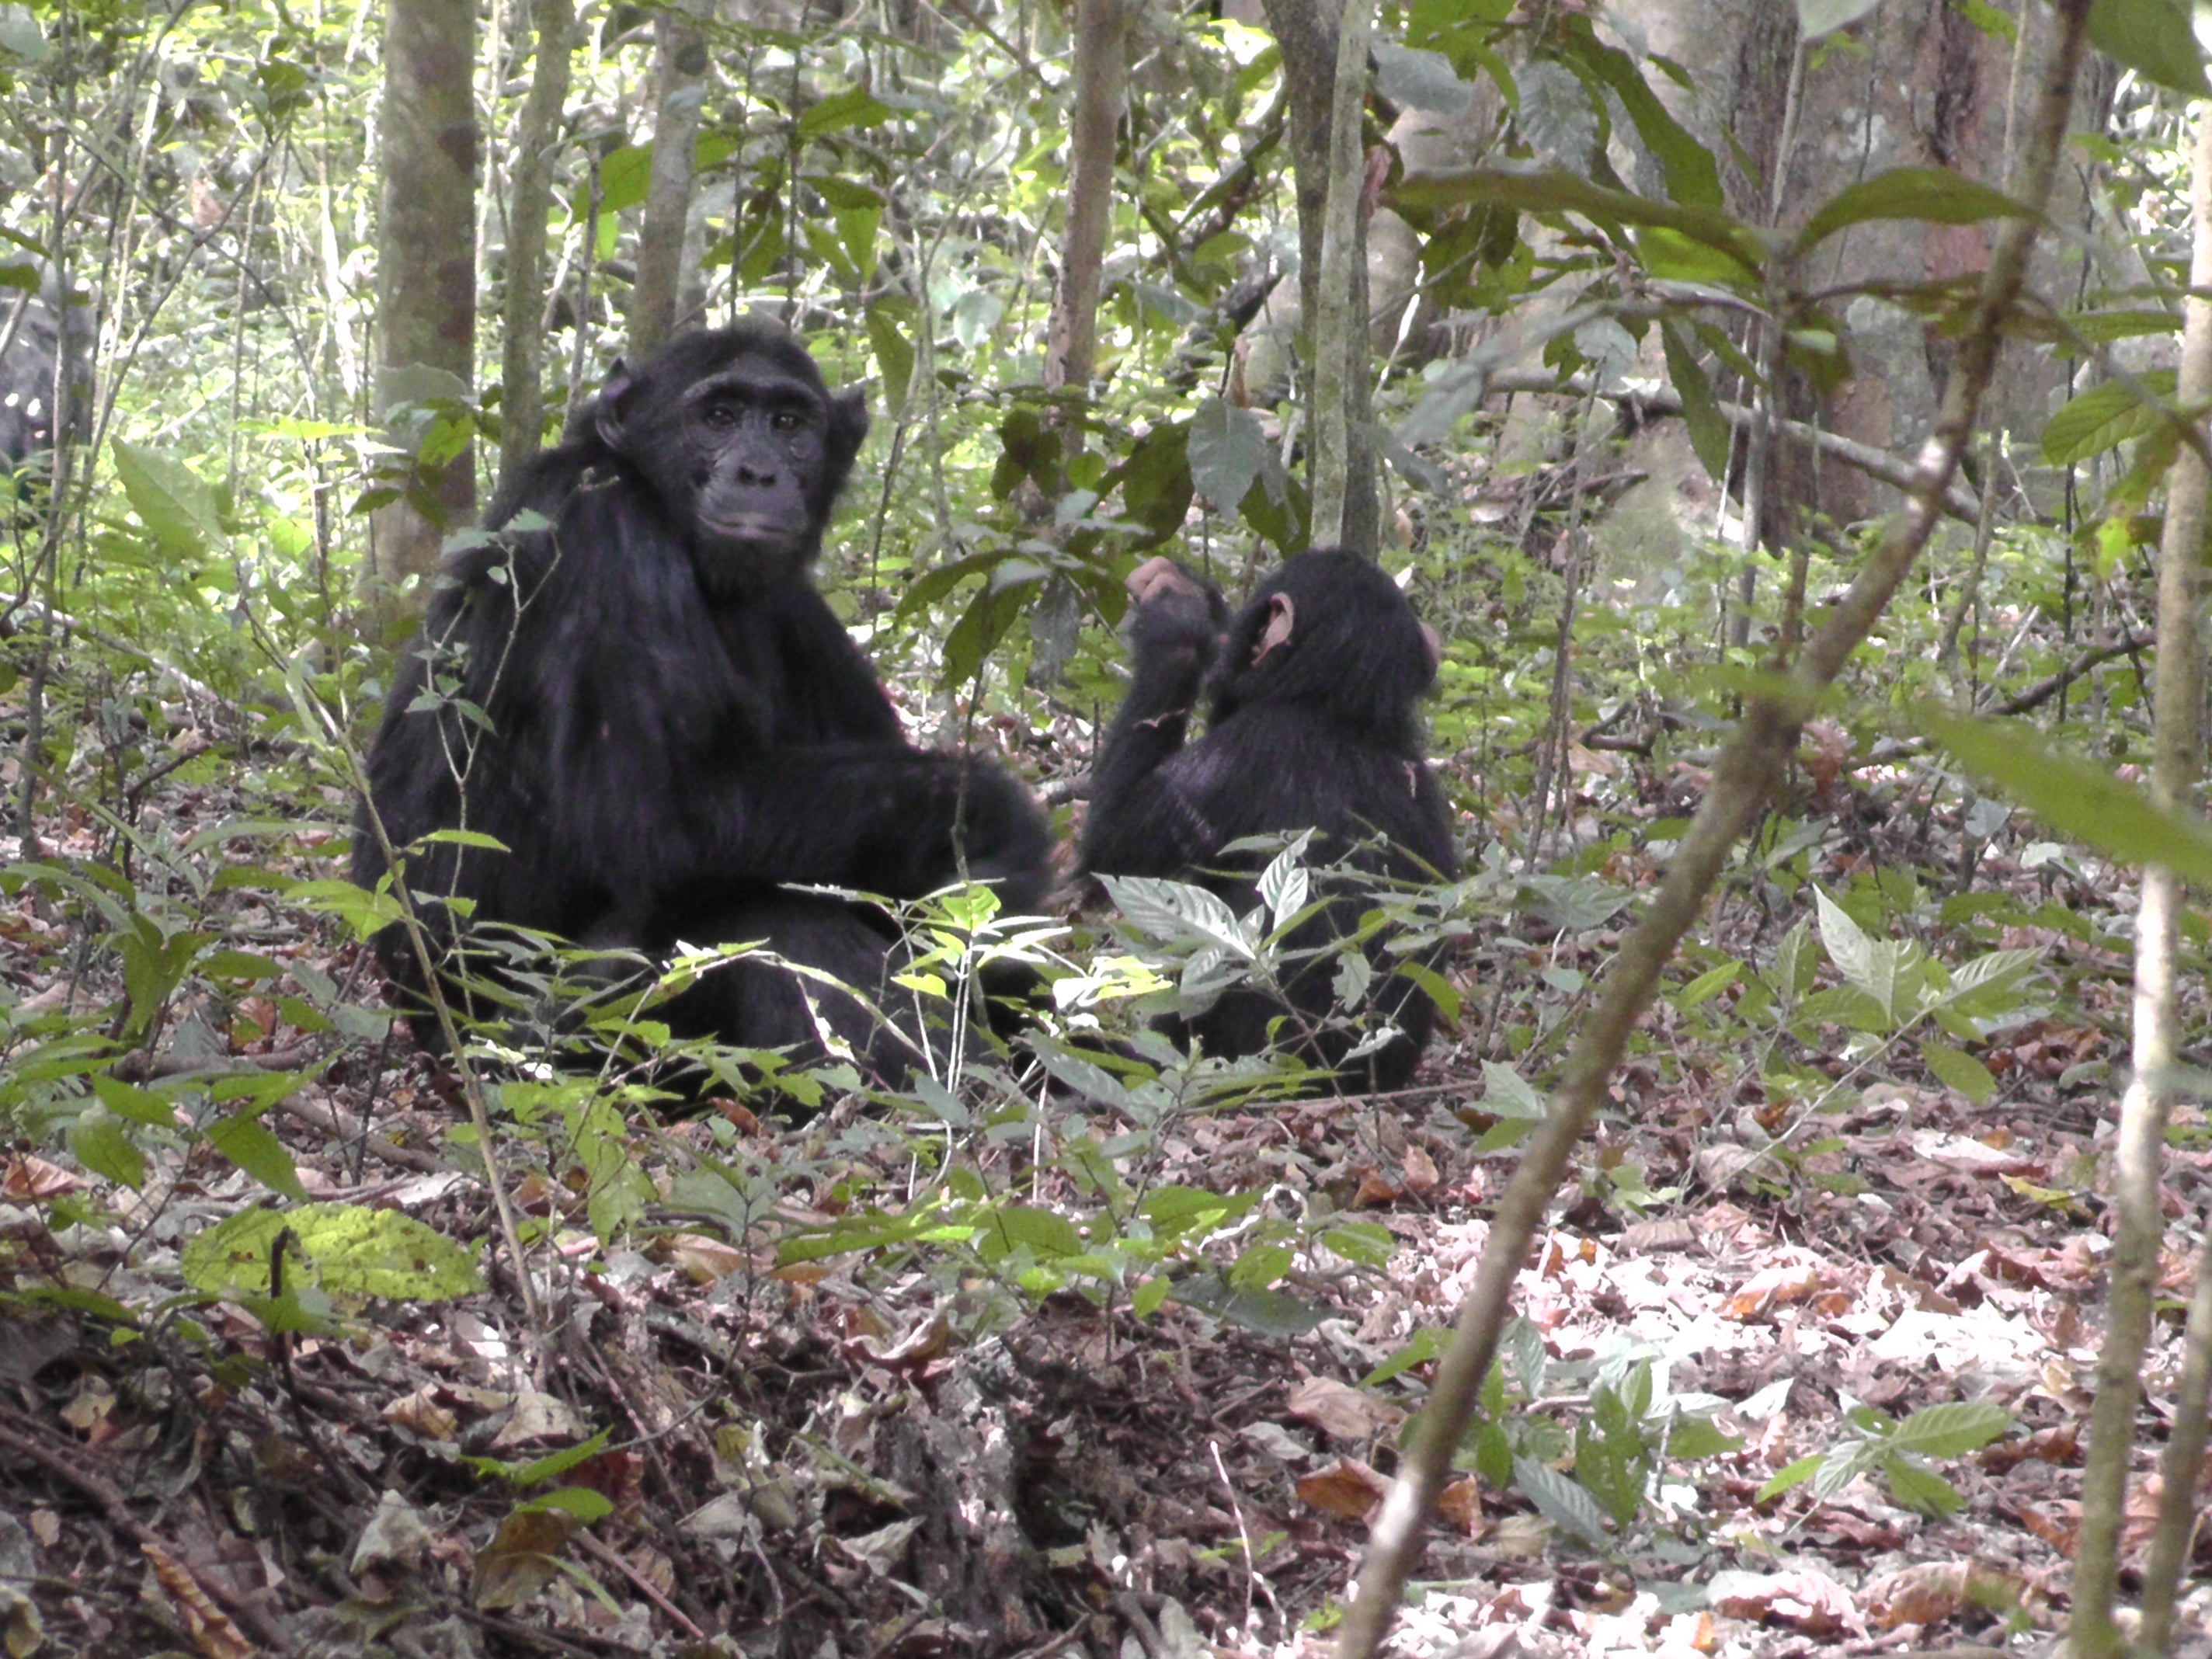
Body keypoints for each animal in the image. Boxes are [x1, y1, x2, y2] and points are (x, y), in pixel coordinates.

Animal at [356, 320, 1052, 1079]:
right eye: (718, 416)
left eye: (788, 424)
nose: (758, 472)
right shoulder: (606, 541)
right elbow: (669, 819)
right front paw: (993, 809)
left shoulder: (798, 607)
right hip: (543, 1042)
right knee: (768, 919)